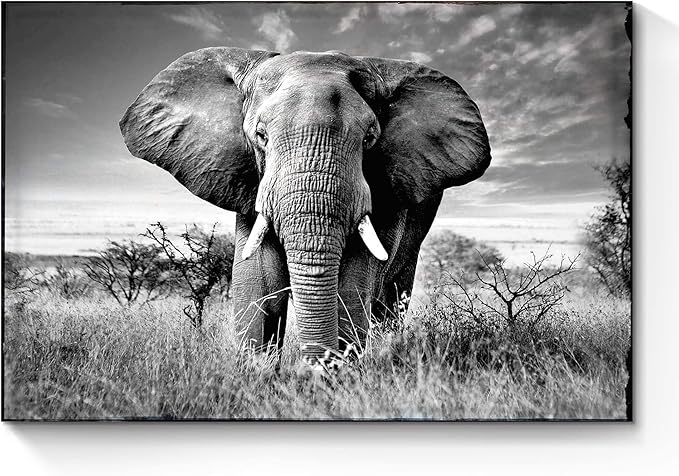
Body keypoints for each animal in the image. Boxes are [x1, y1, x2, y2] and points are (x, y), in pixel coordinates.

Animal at [120, 47, 491, 367]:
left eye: (369, 139)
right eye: (261, 136)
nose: (311, 371)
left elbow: (352, 284)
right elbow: (258, 282)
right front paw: (259, 378)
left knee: (392, 297)